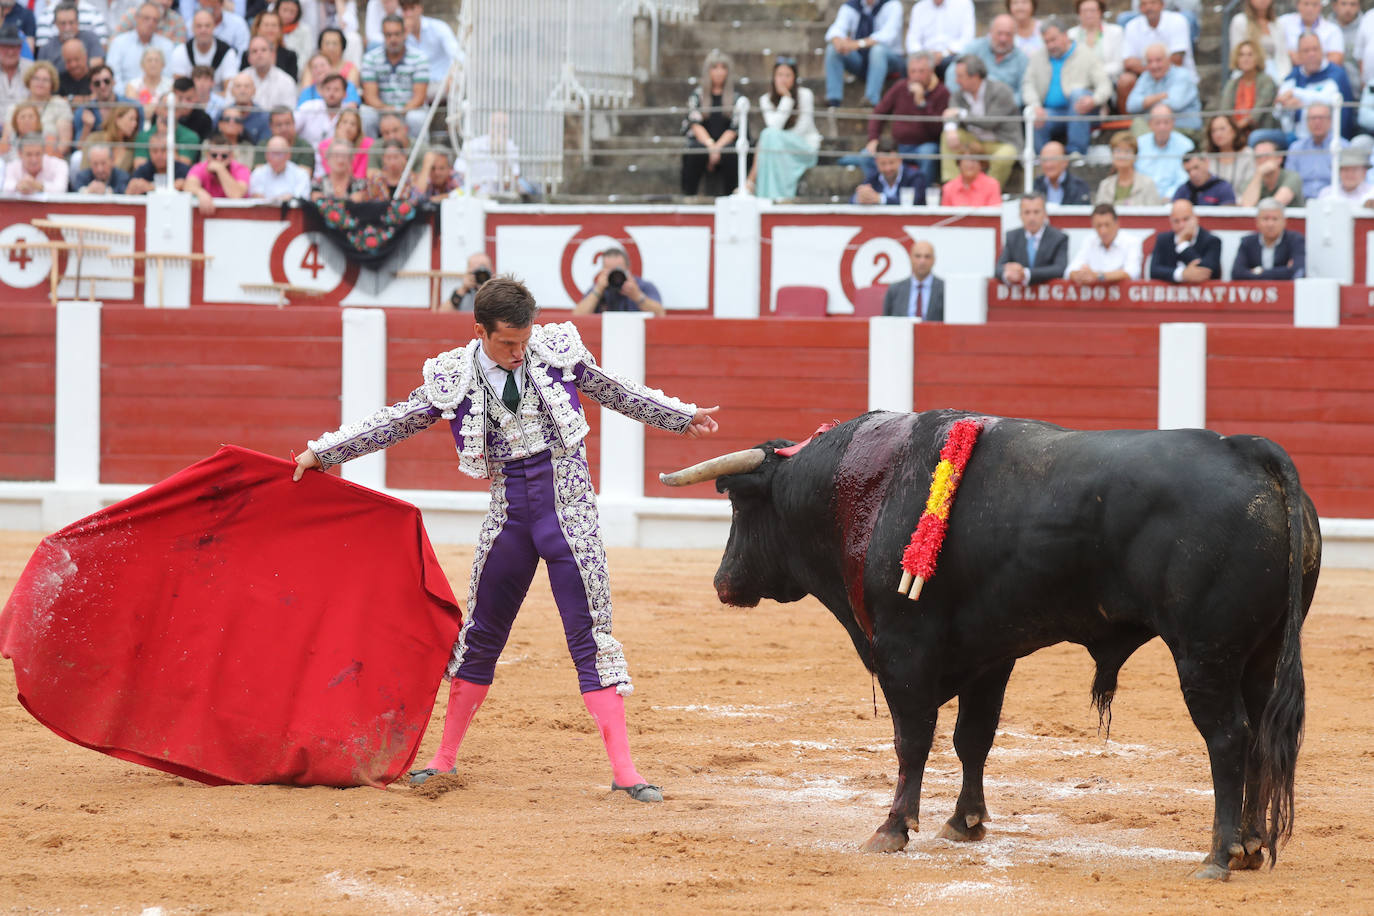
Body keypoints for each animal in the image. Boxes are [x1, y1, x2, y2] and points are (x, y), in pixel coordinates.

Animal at [665, 409, 1319, 878]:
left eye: (738, 501)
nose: (723, 582)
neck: (862, 489)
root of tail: (1248, 450)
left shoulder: (904, 653)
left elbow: (912, 741)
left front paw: (892, 828)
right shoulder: (989, 657)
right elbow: (971, 738)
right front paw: (966, 821)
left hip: (1204, 656)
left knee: (1228, 738)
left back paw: (1220, 856)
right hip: (1258, 656)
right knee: (1260, 737)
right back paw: (1252, 845)